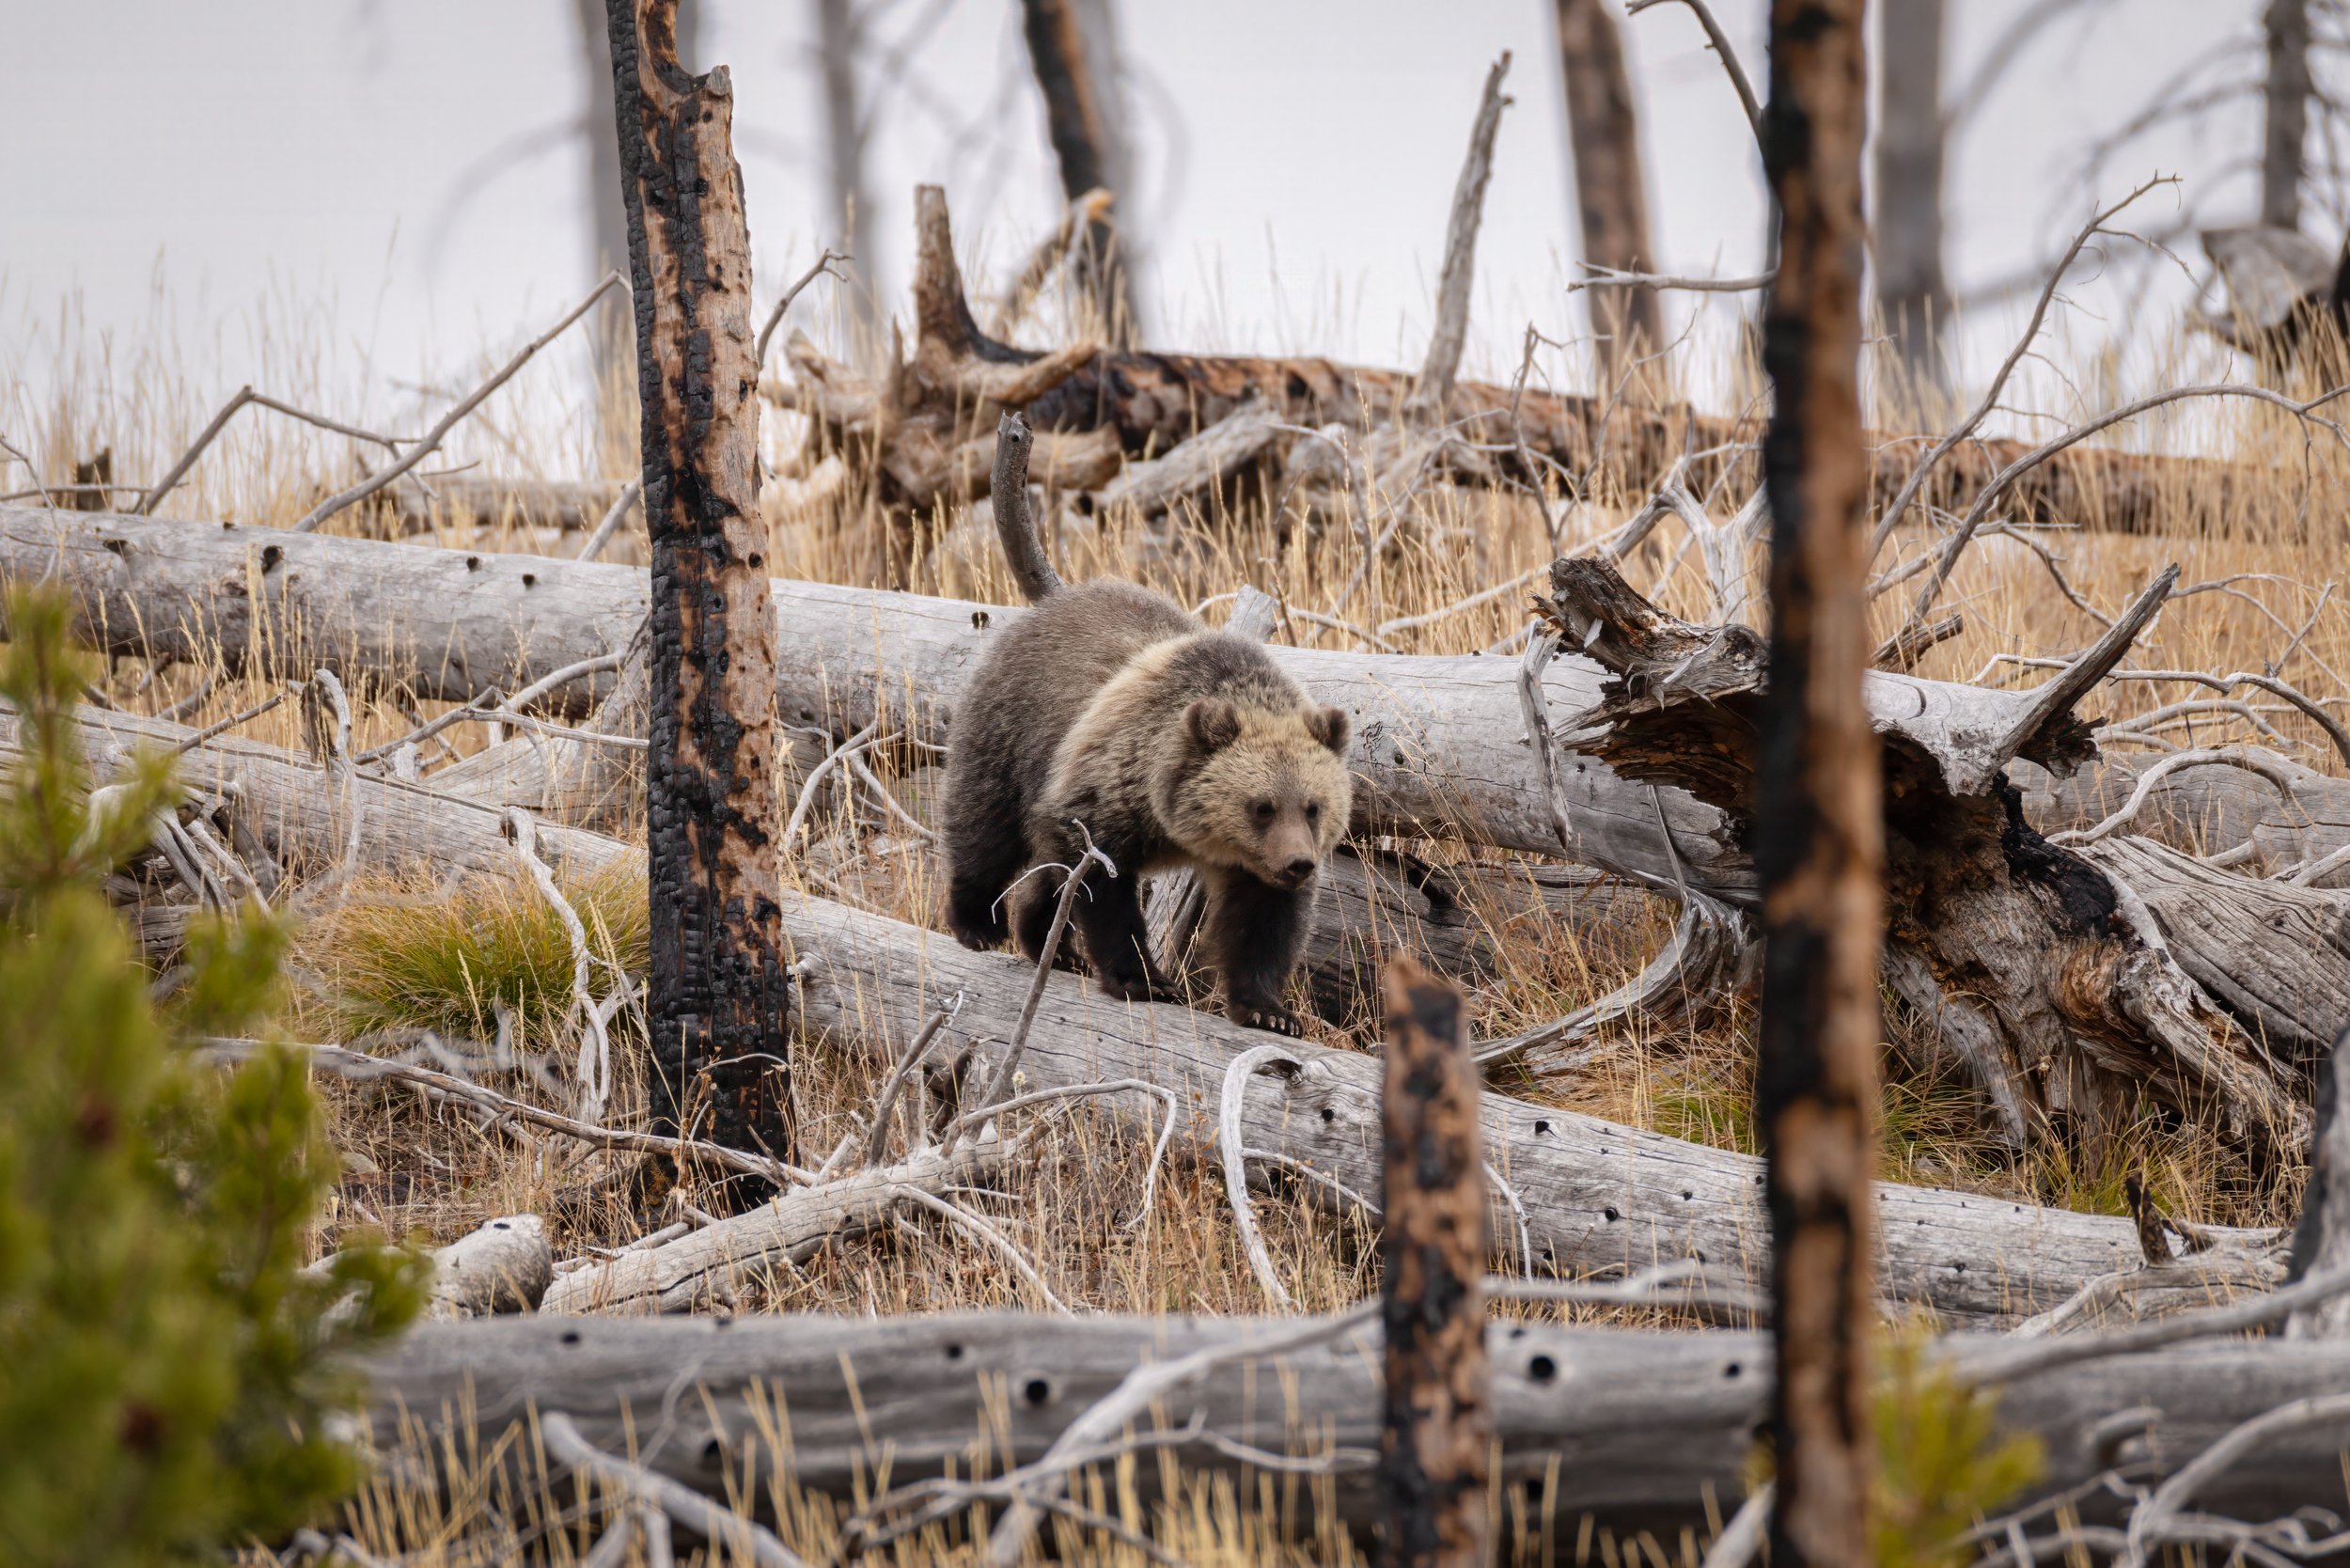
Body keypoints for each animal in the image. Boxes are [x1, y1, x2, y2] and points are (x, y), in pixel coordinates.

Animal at [939, 412, 1354, 1035]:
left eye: (1313, 806)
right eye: (1261, 806)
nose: (1299, 863)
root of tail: (1037, 610)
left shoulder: (1252, 866)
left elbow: (1263, 921)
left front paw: (1269, 1010)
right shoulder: (1108, 791)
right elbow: (1101, 886)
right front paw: (1143, 979)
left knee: (1042, 867)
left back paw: (1046, 942)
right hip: (1015, 729)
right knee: (985, 824)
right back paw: (979, 923)